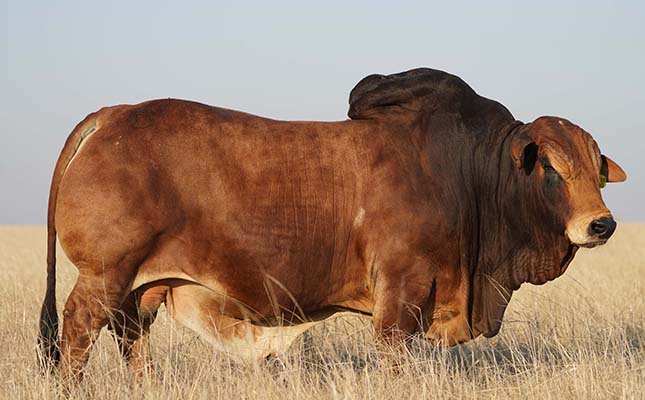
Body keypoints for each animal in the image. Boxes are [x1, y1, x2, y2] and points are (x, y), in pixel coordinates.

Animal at [37, 69, 628, 382]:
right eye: (551, 168)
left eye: (596, 168)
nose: (601, 225)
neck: (468, 174)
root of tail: (112, 114)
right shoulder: (399, 293)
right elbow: (392, 358)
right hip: (104, 276)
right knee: (78, 332)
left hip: (141, 288)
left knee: (131, 338)